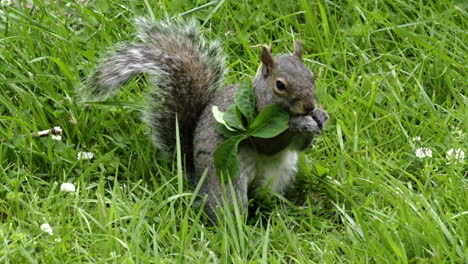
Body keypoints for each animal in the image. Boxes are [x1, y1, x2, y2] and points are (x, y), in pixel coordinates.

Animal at [79, 17, 330, 223]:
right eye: (280, 85)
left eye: (311, 76)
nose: (309, 106)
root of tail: (197, 182)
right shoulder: (254, 125)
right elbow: (268, 145)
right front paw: (299, 123)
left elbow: (300, 146)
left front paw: (320, 117)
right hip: (227, 183)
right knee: (228, 210)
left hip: (280, 176)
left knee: (266, 198)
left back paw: (282, 211)